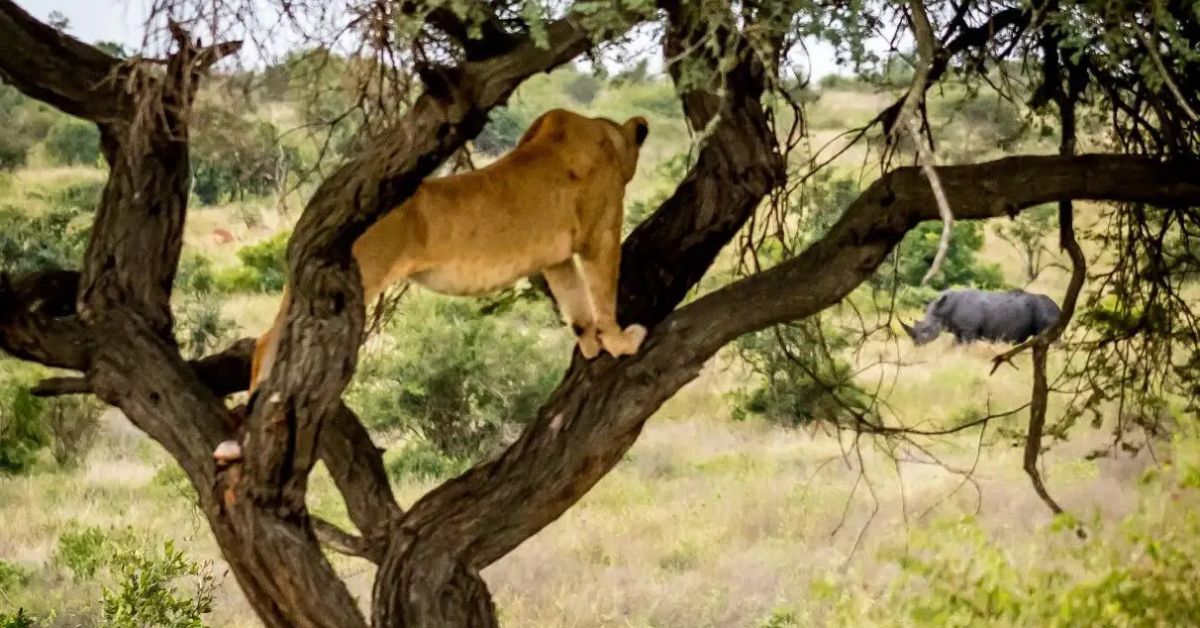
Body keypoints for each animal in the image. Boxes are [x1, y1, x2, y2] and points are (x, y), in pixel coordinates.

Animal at [234, 109, 649, 456]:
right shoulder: (599, 235)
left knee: (268, 338)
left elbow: (576, 304)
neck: (608, 136)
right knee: (272, 337)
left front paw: (591, 345)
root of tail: (324, 197)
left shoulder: (557, 258)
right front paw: (620, 341)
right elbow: (602, 292)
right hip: (361, 271)